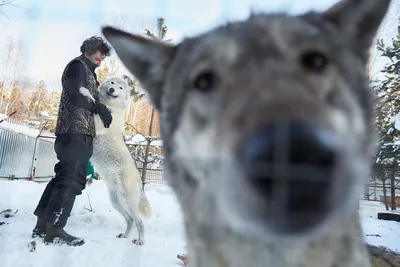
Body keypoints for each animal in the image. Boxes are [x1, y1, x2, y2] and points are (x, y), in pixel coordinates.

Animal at [88, 76, 152, 246]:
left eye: (120, 88)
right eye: (112, 83)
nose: (112, 90)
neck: (111, 107)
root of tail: (139, 180)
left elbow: (93, 103)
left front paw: (84, 92)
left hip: (127, 201)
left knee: (139, 222)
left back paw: (140, 241)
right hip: (116, 202)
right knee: (130, 220)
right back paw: (124, 236)